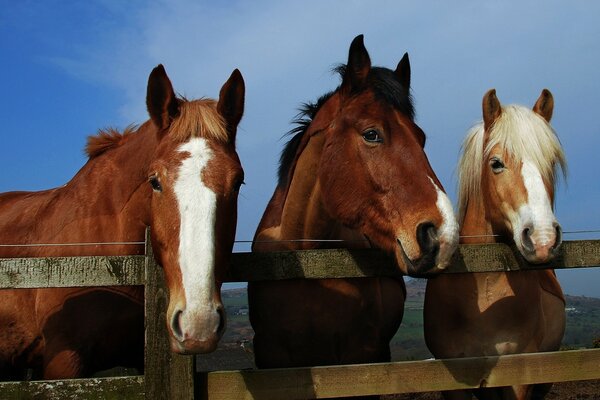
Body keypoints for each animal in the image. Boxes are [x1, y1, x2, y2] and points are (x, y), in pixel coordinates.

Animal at [246, 35, 458, 394]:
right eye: (371, 134)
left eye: (422, 137)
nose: (442, 235)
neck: (307, 260)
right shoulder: (273, 359)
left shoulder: (361, 358)